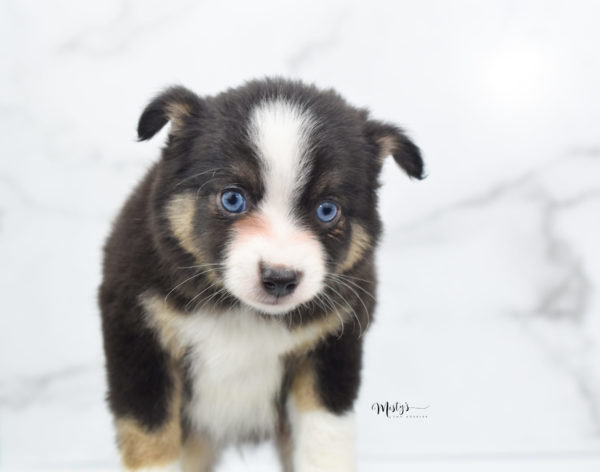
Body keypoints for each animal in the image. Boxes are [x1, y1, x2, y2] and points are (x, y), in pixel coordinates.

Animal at [98, 79, 424, 470]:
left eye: (327, 210)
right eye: (232, 199)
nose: (280, 279)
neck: (242, 314)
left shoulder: (333, 346)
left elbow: (325, 440)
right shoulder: (139, 339)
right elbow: (151, 440)